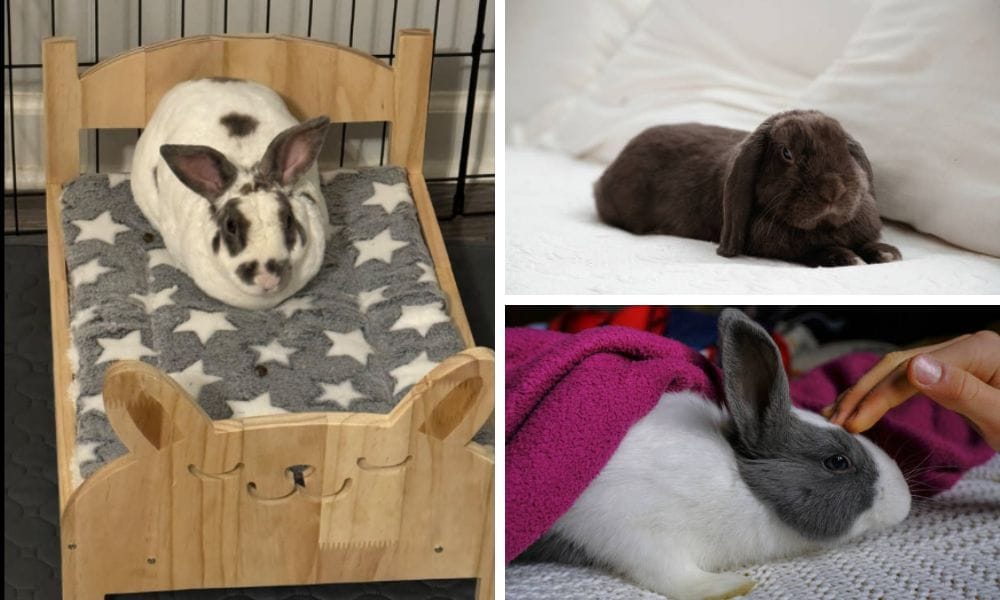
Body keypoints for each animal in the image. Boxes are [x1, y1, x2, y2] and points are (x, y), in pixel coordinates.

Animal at [525, 309, 911, 600]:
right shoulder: (629, 529)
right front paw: (729, 585)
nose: (906, 501)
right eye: (837, 462)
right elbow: (672, 575)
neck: (745, 488)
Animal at [594, 110, 902, 267]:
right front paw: (844, 257)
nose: (832, 190)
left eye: (844, 148)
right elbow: (807, 250)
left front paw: (886, 252)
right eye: (786, 153)